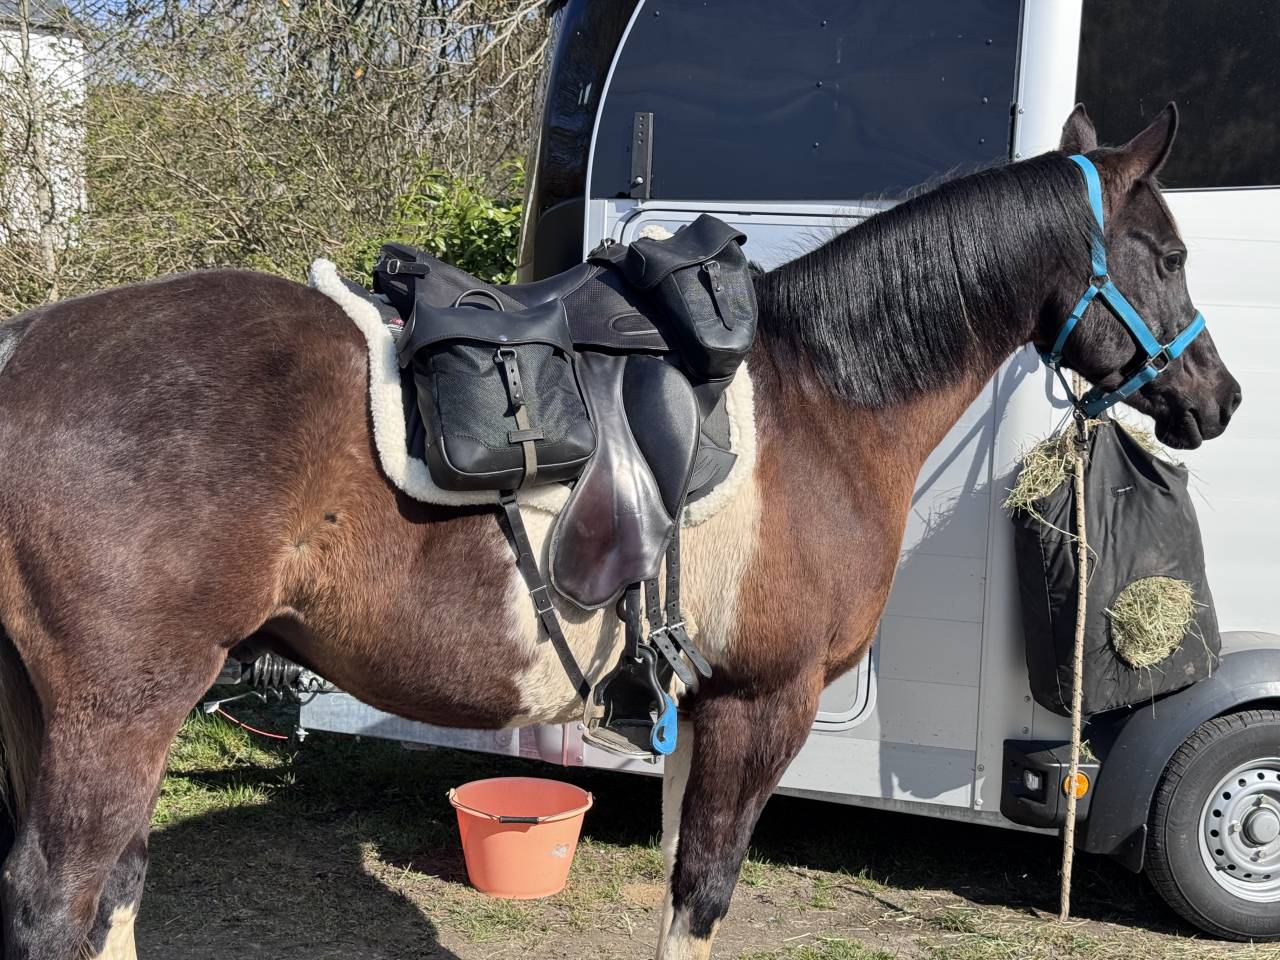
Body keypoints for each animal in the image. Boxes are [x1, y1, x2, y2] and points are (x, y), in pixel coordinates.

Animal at [0, 103, 1240, 960]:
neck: (826, 399)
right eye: (1168, 253)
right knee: (61, 900)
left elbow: (677, 882)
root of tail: (21, 350)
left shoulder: (701, 704)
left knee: (103, 894)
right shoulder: (761, 703)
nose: (1217, 400)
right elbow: (702, 894)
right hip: (123, 711)